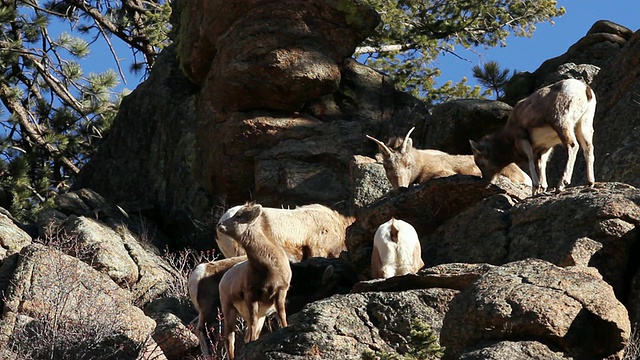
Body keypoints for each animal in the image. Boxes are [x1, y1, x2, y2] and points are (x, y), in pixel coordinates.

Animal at [468, 77, 596, 195]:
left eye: (481, 163)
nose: (486, 181)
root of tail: (584, 89)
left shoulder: (522, 139)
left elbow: (530, 159)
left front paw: (535, 188)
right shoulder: (545, 148)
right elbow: (541, 164)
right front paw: (541, 189)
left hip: (561, 122)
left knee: (572, 146)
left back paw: (561, 185)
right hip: (583, 125)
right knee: (588, 148)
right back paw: (590, 183)